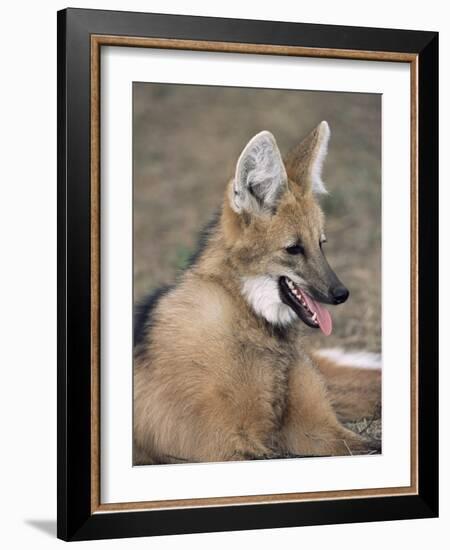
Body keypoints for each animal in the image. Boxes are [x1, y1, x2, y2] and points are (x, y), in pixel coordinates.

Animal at [134, 122, 380, 466]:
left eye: (321, 244)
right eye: (293, 249)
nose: (341, 293)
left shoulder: (317, 432)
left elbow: (370, 444)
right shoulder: (223, 447)